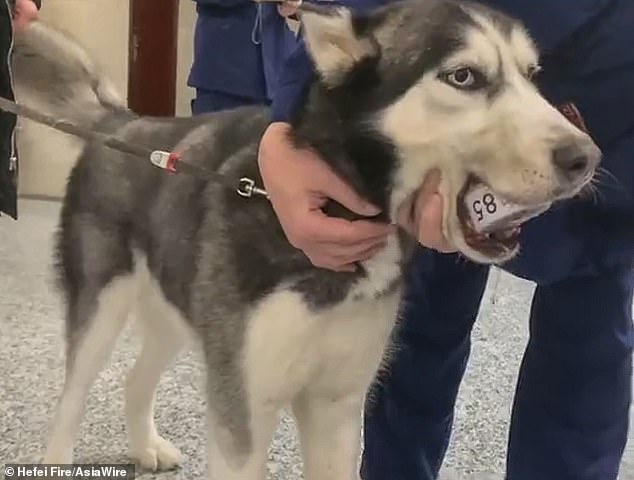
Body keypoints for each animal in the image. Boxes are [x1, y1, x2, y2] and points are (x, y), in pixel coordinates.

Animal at [12, 1, 600, 478]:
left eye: (532, 76)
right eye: (464, 76)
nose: (586, 157)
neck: (343, 216)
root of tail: (121, 123)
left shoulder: (336, 408)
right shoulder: (246, 412)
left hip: (181, 313)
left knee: (135, 379)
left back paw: (147, 447)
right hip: (103, 309)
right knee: (69, 400)